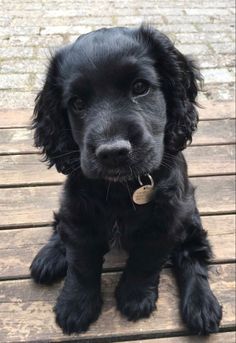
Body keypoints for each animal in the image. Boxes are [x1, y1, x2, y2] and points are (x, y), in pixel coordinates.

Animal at [30, 24, 222, 336]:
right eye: (77, 103)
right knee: (61, 226)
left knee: (192, 255)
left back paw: (202, 305)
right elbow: (80, 262)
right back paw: (50, 256)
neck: (123, 188)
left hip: (191, 214)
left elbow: (146, 259)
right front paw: (75, 305)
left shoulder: (168, 217)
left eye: (140, 87)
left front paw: (135, 296)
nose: (113, 152)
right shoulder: (80, 212)